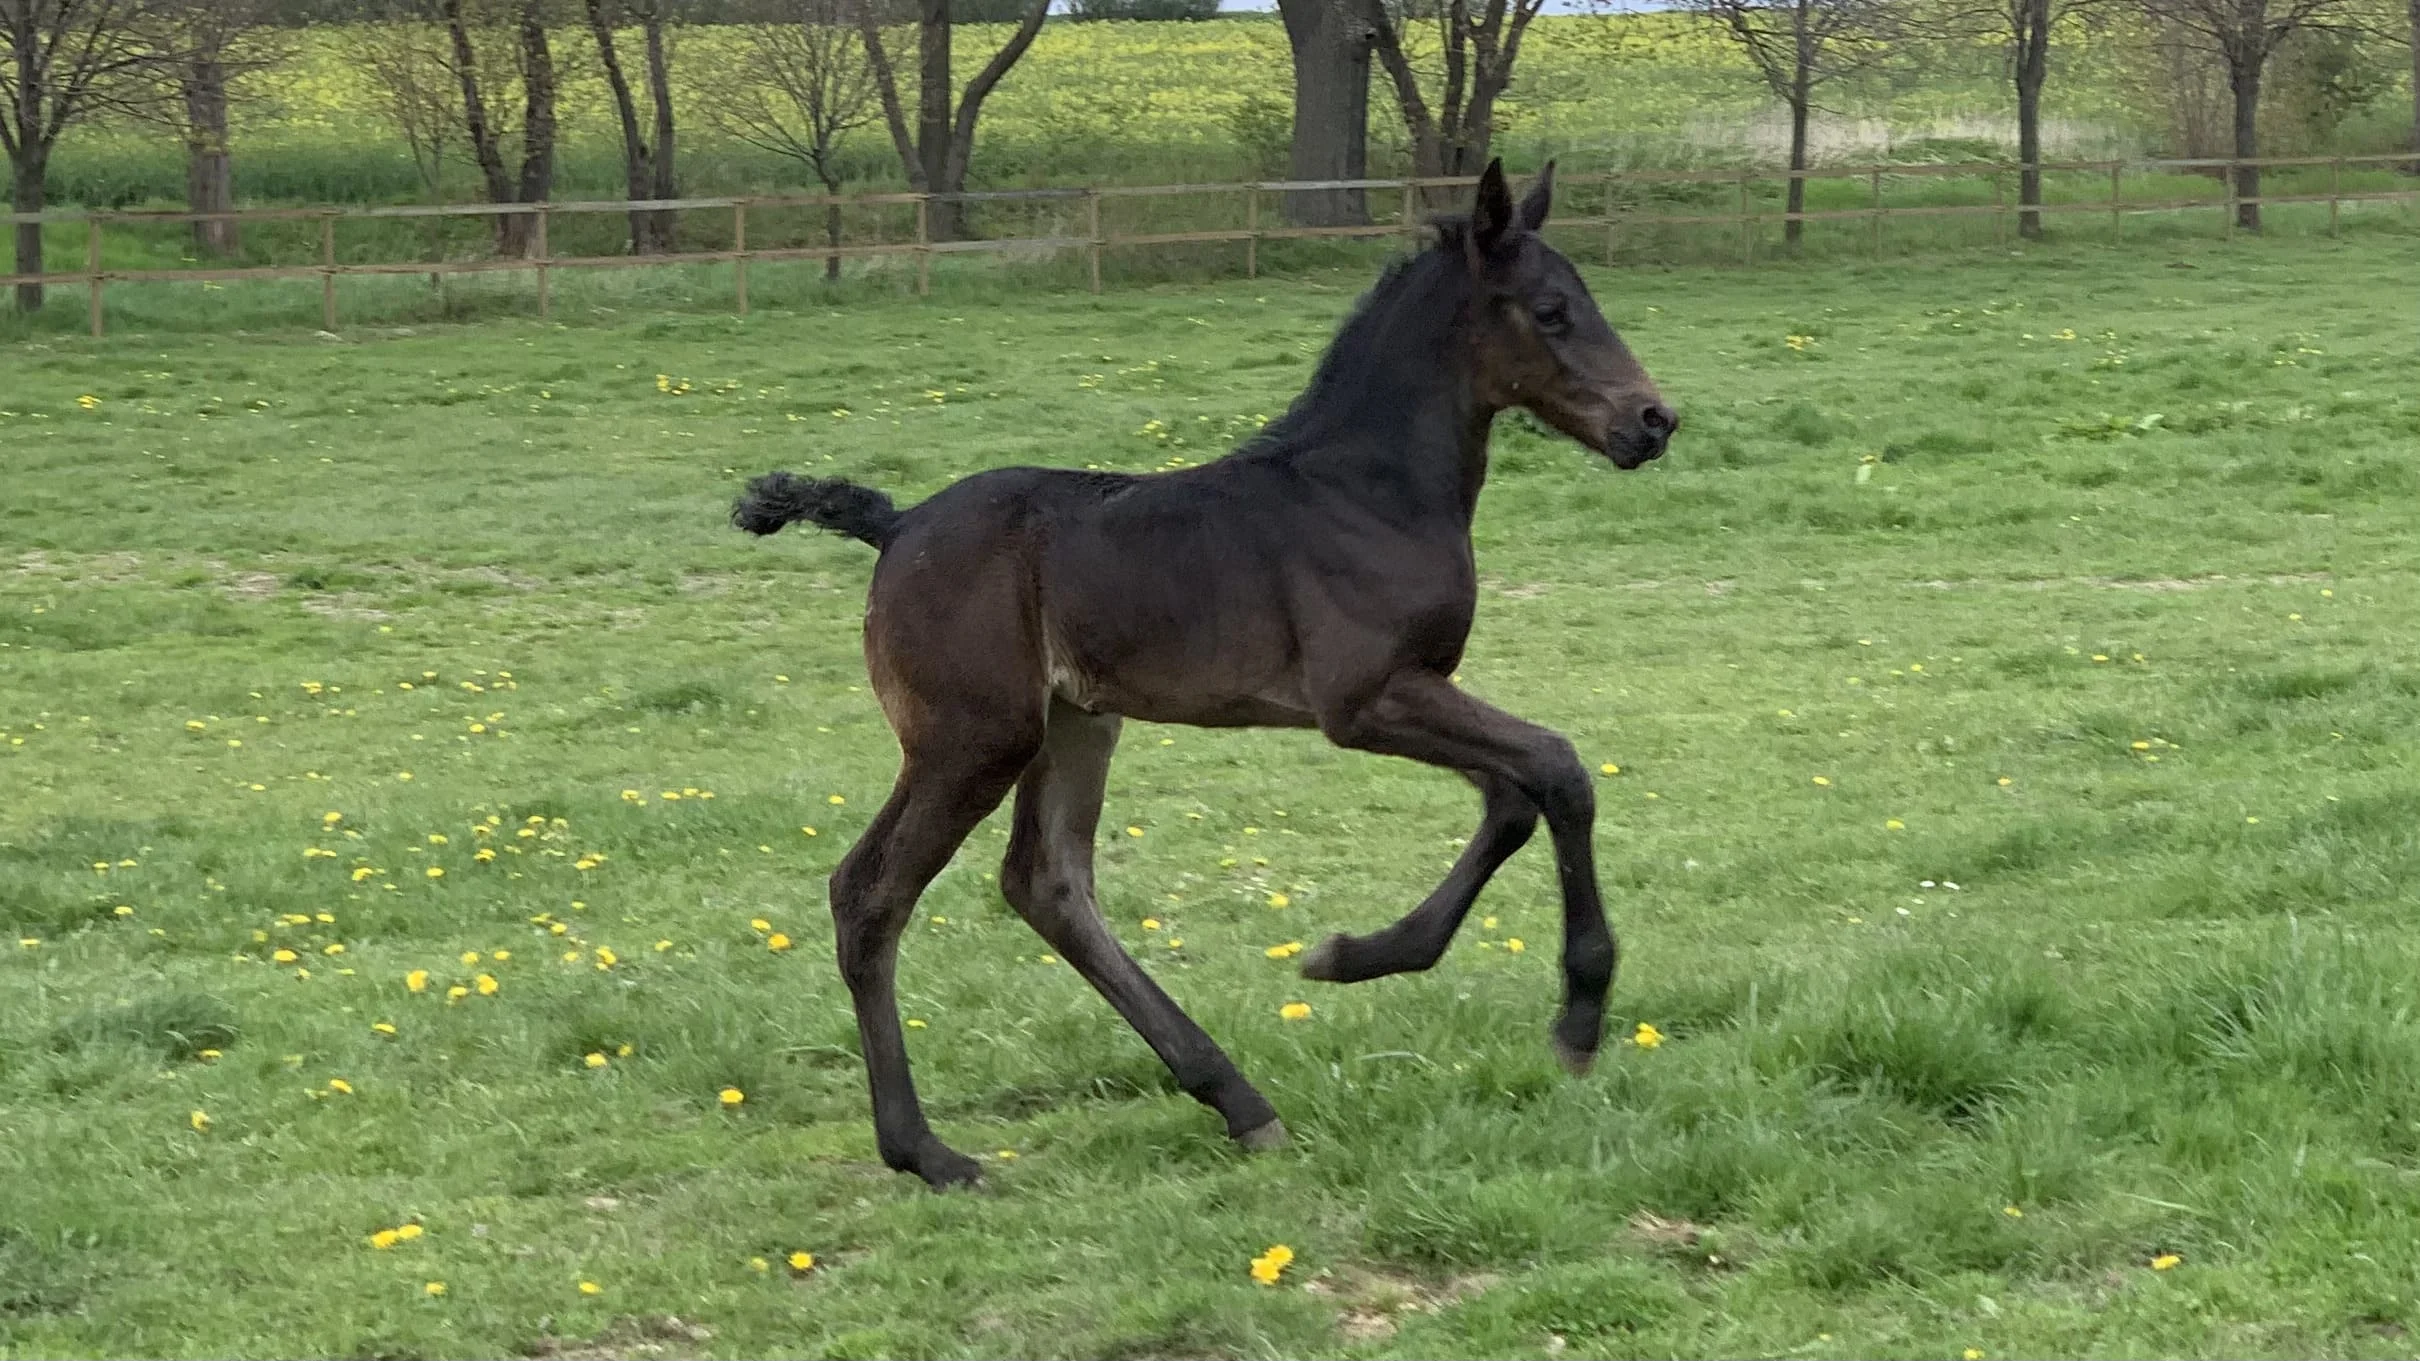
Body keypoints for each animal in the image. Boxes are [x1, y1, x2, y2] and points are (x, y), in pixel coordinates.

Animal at [732, 159, 1677, 1189]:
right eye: (1551, 310)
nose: (1654, 420)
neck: (1367, 493)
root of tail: (896, 525)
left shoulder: (1409, 688)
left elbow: (1511, 799)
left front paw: (1355, 954)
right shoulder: (1365, 698)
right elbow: (1558, 768)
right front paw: (1578, 1017)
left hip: (1074, 723)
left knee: (1046, 883)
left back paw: (1236, 1097)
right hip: (971, 741)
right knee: (872, 894)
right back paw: (928, 1151)